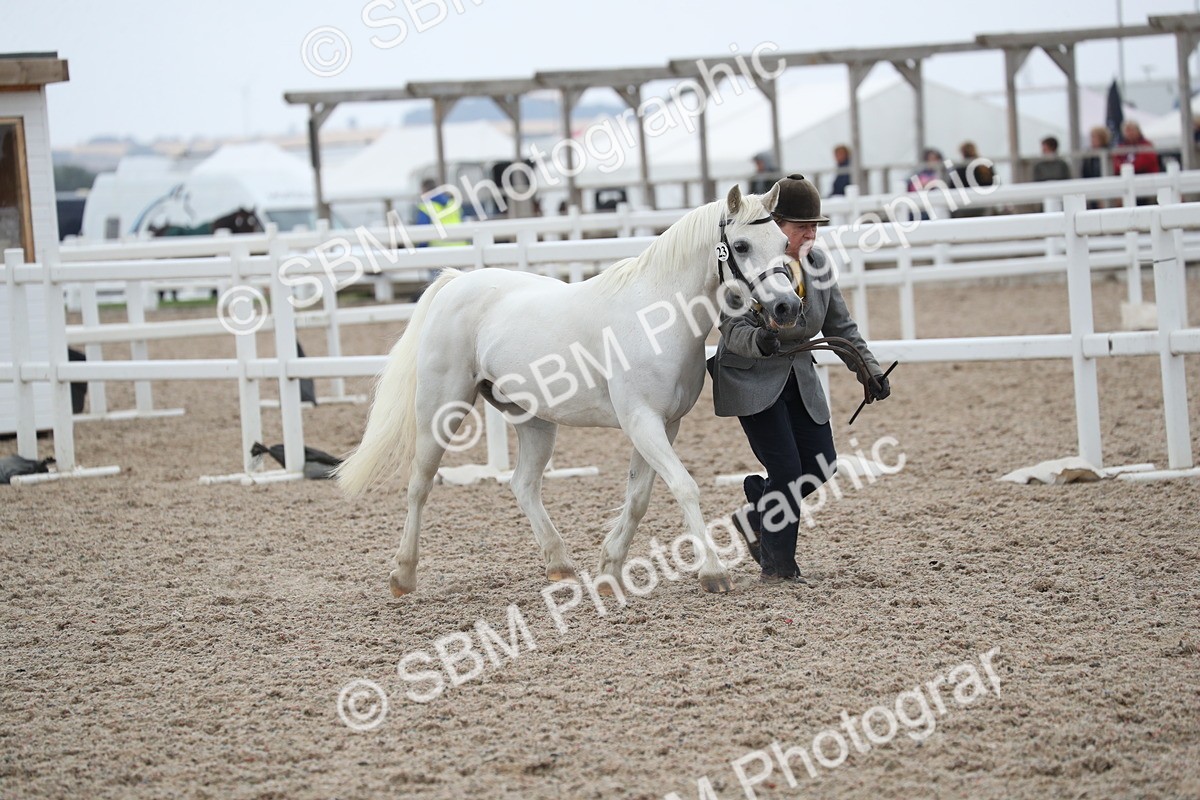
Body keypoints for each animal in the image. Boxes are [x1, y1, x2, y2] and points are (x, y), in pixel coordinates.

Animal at [337, 183, 801, 596]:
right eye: (740, 245)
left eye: (782, 241)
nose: (788, 307)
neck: (655, 317)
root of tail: (454, 283)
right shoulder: (642, 421)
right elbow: (684, 487)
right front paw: (713, 573)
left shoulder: (665, 426)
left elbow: (639, 496)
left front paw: (610, 569)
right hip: (440, 410)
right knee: (420, 484)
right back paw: (403, 575)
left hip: (534, 422)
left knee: (523, 484)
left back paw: (559, 564)